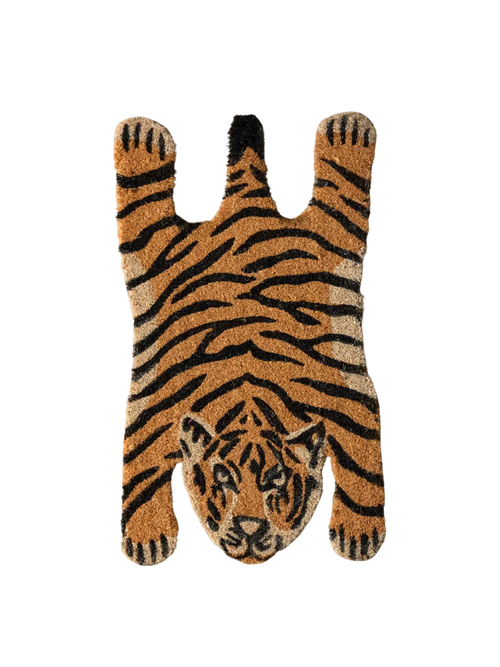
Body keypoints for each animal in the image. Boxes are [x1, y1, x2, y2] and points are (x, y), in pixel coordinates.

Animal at [114, 112, 385, 565]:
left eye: (276, 481)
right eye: (223, 478)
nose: (250, 527)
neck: (249, 390)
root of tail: (247, 201)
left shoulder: (349, 399)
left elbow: (363, 467)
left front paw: (358, 533)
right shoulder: (152, 407)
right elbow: (139, 470)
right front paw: (147, 539)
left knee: (341, 193)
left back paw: (346, 131)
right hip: (152, 248)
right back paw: (142, 137)